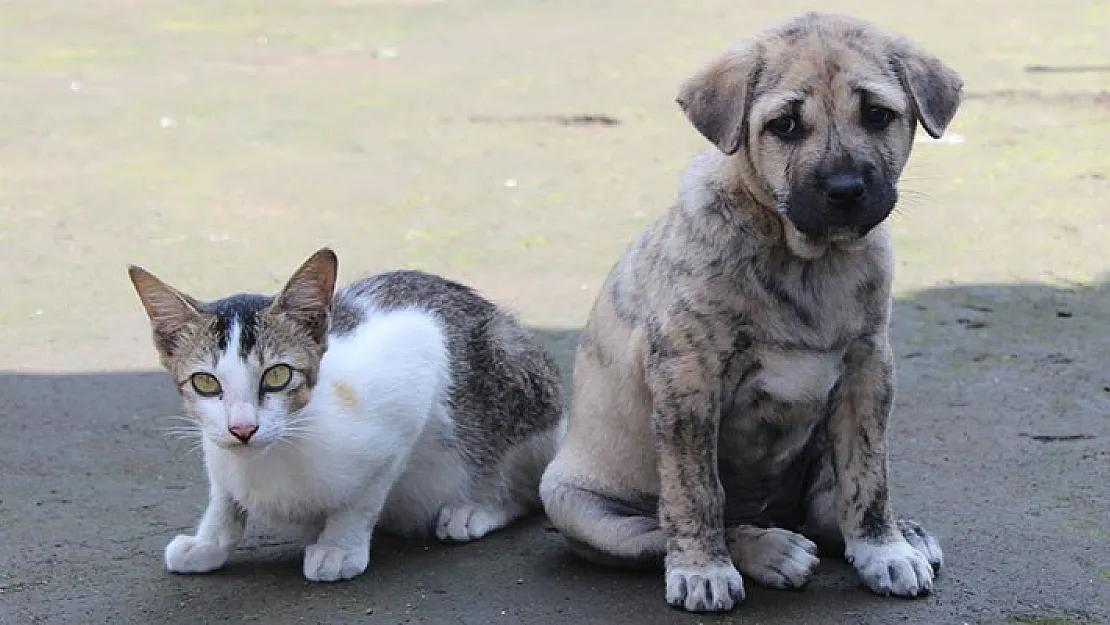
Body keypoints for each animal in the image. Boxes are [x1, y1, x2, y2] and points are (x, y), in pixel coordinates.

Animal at [127, 248, 563, 581]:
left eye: (278, 375)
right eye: (205, 383)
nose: (243, 429)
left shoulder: (413, 376)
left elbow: (364, 497)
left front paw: (339, 546)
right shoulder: (215, 445)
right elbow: (223, 494)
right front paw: (209, 541)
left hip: (515, 371)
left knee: (528, 488)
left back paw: (478, 507)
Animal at [537, 11, 963, 617]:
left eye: (877, 115)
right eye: (783, 126)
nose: (845, 190)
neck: (806, 260)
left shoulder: (868, 369)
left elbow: (867, 474)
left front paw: (883, 549)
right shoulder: (687, 378)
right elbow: (696, 491)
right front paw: (703, 570)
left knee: (826, 504)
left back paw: (899, 534)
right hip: (579, 506)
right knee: (669, 528)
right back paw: (770, 550)